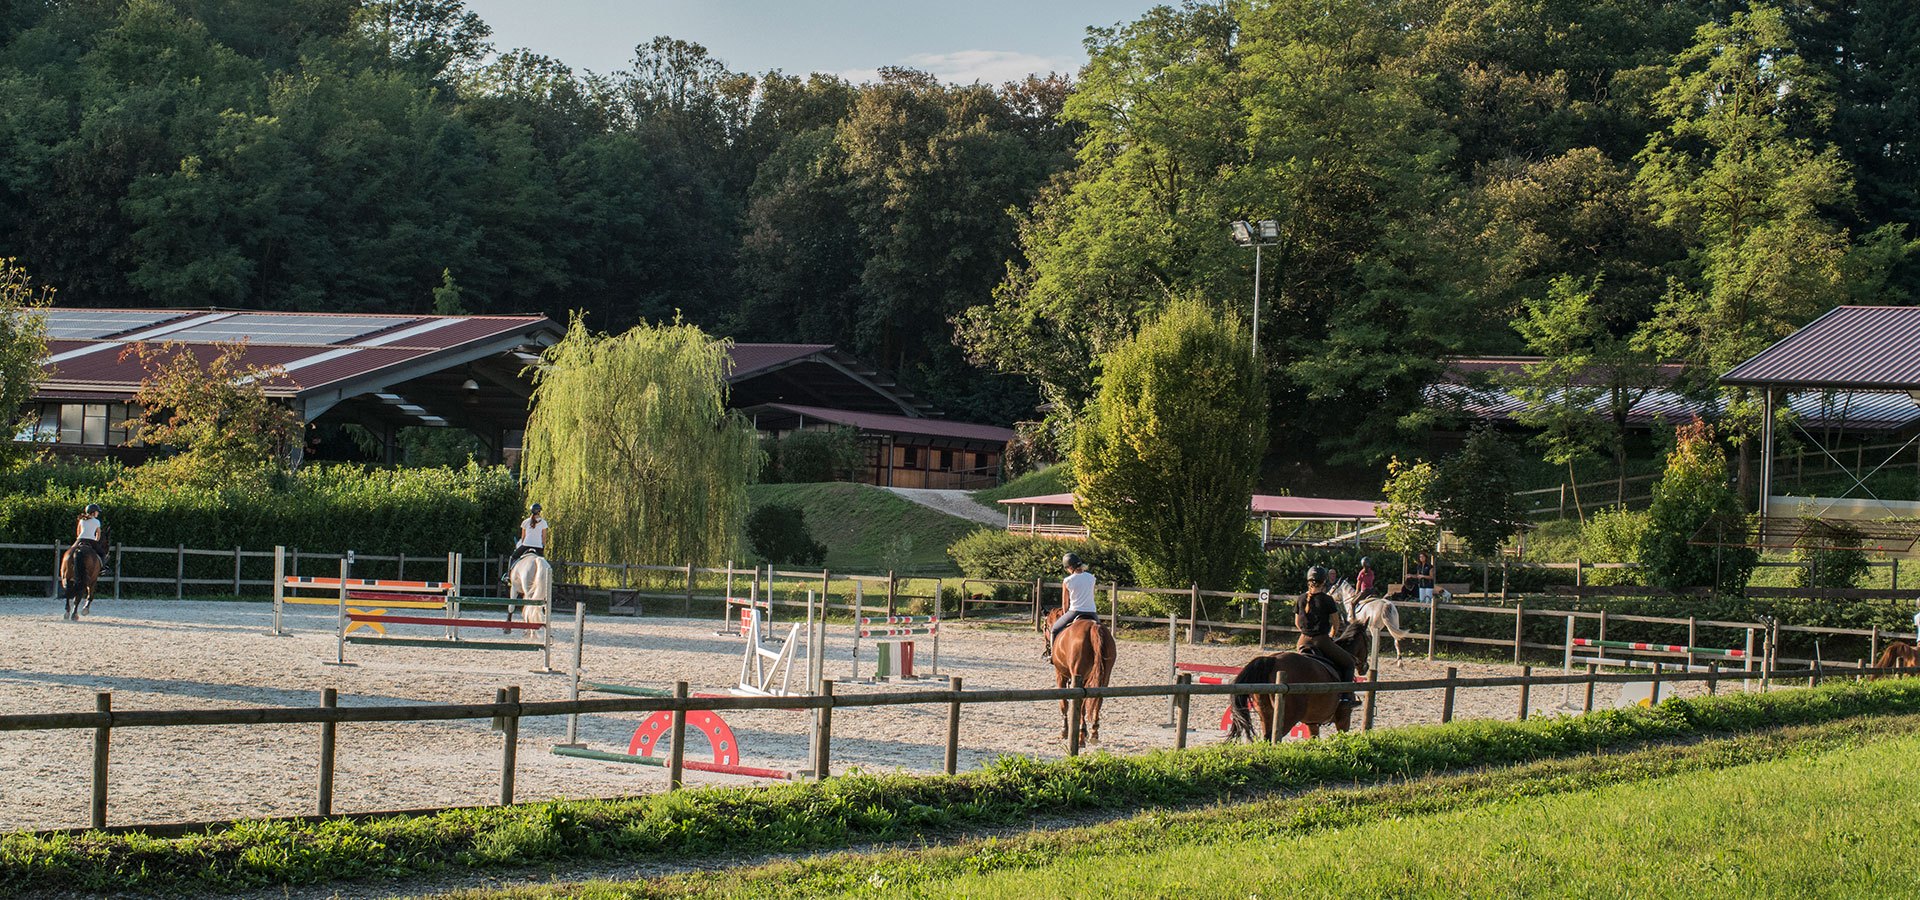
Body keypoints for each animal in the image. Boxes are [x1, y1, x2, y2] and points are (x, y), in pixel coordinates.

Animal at [1044, 610, 1121, 744]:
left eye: (1045, 627)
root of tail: (1094, 626)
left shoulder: (1060, 676)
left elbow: (1064, 703)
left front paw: (1064, 730)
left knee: (1080, 702)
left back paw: (1081, 734)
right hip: (1104, 676)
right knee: (1098, 698)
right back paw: (1094, 732)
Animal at [1221, 621, 1374, 740]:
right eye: (1367, 640)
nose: (1365, 667)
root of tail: (1272, 659)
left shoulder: (1313, 722)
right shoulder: (1344, 718)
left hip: (1266, 713)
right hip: (1288, 717)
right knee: (1273, 737)